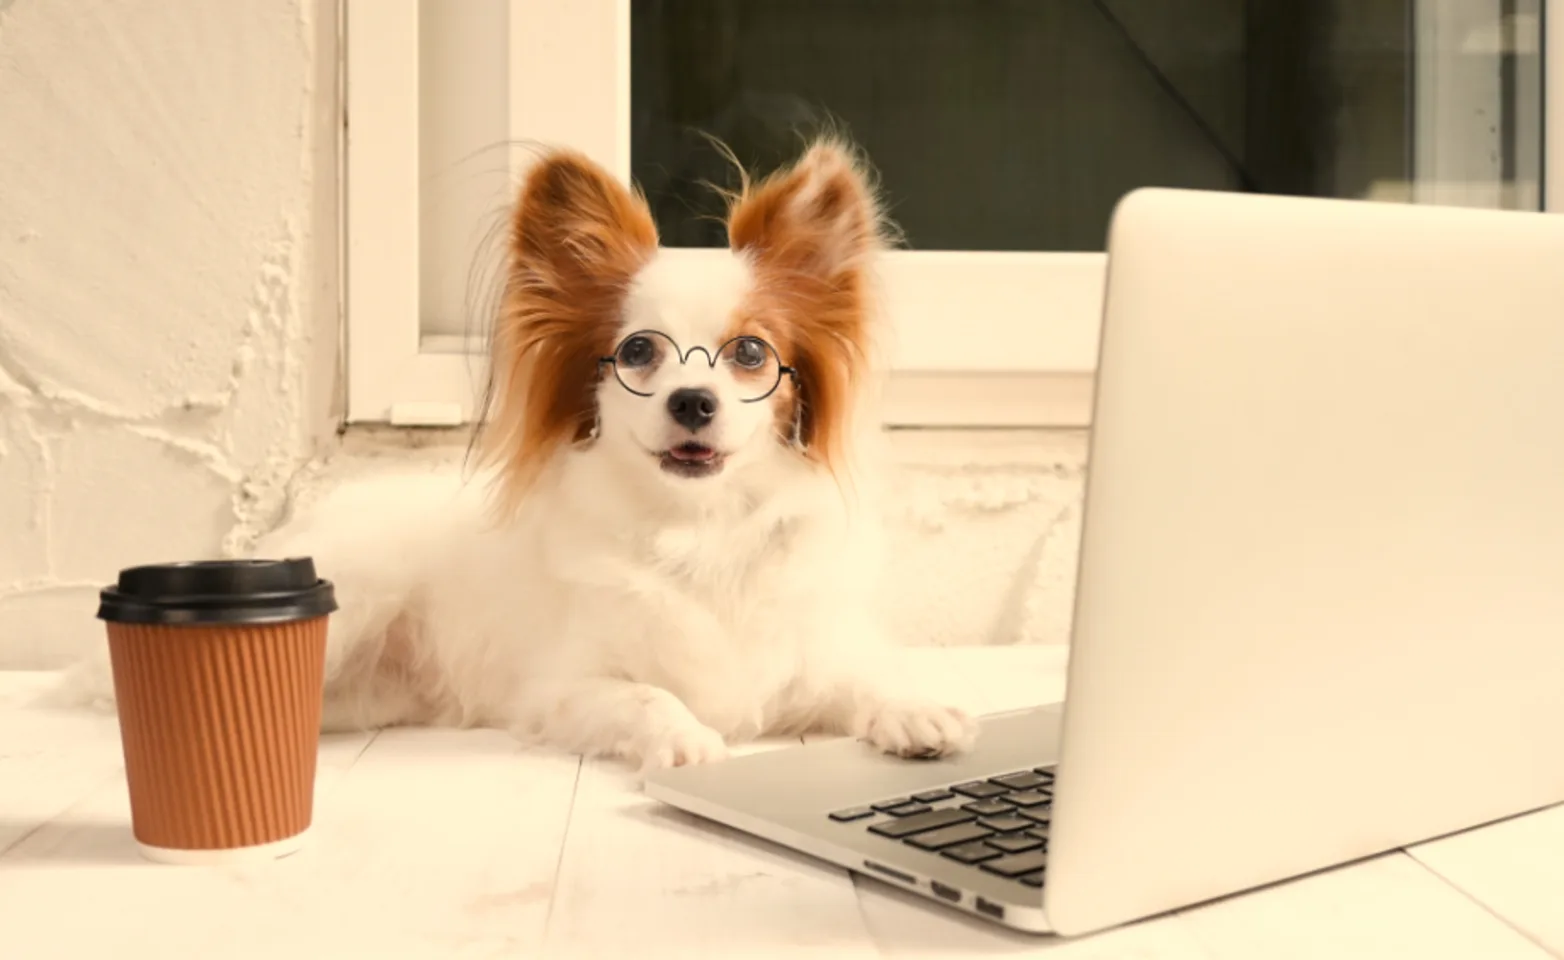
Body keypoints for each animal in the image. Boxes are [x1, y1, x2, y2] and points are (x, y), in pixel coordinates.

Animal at [60, 139, 975, 775]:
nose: (692, 400)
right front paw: (686, 738)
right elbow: (649, 694)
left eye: (750, 354)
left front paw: (915, 711)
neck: (696, 528)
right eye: (639, 352)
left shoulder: (807, 657)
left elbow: (861, 678)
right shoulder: (563, 690)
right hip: (359, 594)